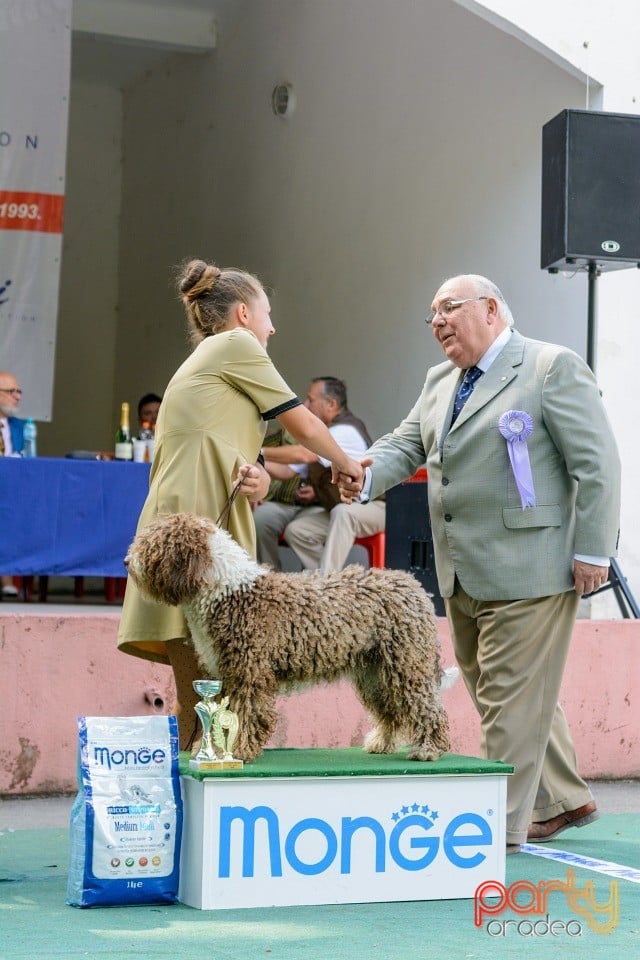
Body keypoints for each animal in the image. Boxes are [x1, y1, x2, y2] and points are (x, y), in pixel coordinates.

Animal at [126, 512, 450, 760]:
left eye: (155, 545)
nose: (127, 562)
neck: (225, 591)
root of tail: (415, 586)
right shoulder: (226, 672)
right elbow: (228, 716)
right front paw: (217, 752)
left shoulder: (249, 671)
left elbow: (248, 713)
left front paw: (240, 750)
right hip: (375, 672)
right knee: (390, 711)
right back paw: (382, 743)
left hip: (406, 664)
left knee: (427, 708)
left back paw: (428, 749)